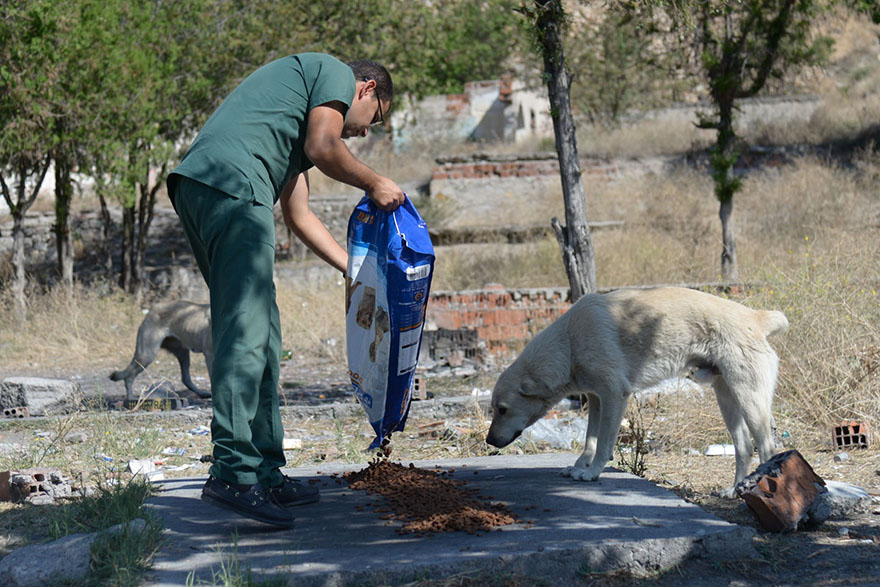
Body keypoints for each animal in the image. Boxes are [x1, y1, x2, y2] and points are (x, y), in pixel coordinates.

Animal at [488, 288, 792, 498]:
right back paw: (735, 491)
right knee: (744, 447)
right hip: (727, 399)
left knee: (767, 448)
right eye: (494, 409)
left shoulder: (613, 396)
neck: (569, 343)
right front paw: (579, 466)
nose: (489, 441)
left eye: (502, 409)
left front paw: (593, 472)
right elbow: (590, 440)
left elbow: (604, 445)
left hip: (750, 400)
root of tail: (757, 317)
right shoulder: (597, 398)